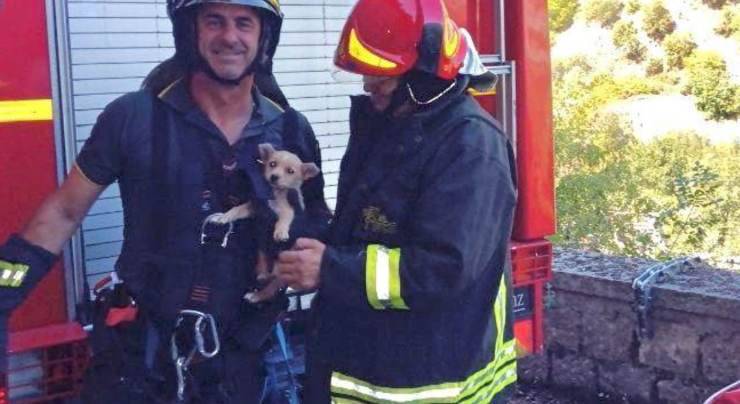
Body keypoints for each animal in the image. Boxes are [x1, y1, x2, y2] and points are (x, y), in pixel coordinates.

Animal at [214, 143, 318, 304]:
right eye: (272, 164)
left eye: (290, 171)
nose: (274, 177)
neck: (273, 194)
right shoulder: (254, 206)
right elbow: (237, 209)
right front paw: (224, 217)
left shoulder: (287, 210)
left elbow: (283, 220)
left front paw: (280, 232)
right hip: (263, 253)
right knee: (265, 270)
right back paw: (262, 276)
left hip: (282, 267)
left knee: (271, 288)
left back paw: (256, 295)